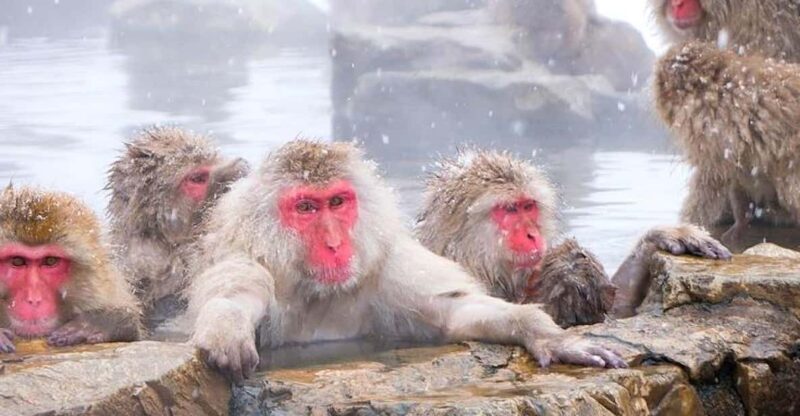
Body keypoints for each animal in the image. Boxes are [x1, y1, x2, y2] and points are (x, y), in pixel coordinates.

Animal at [186, 139, 627, 383]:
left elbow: (455, 312)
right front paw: (227, 326)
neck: (319, 292)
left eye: (338, 202)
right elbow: (236, 294)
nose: (334, 243)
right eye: (306, 207)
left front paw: (545, 333)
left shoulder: (389, 270)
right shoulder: (245, 259)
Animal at [415, 149, 732, 324]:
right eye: (509, 210)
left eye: (527, 206)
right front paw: (566, 273)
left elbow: (616, 310)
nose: (532, 234)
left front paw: (661, 237)